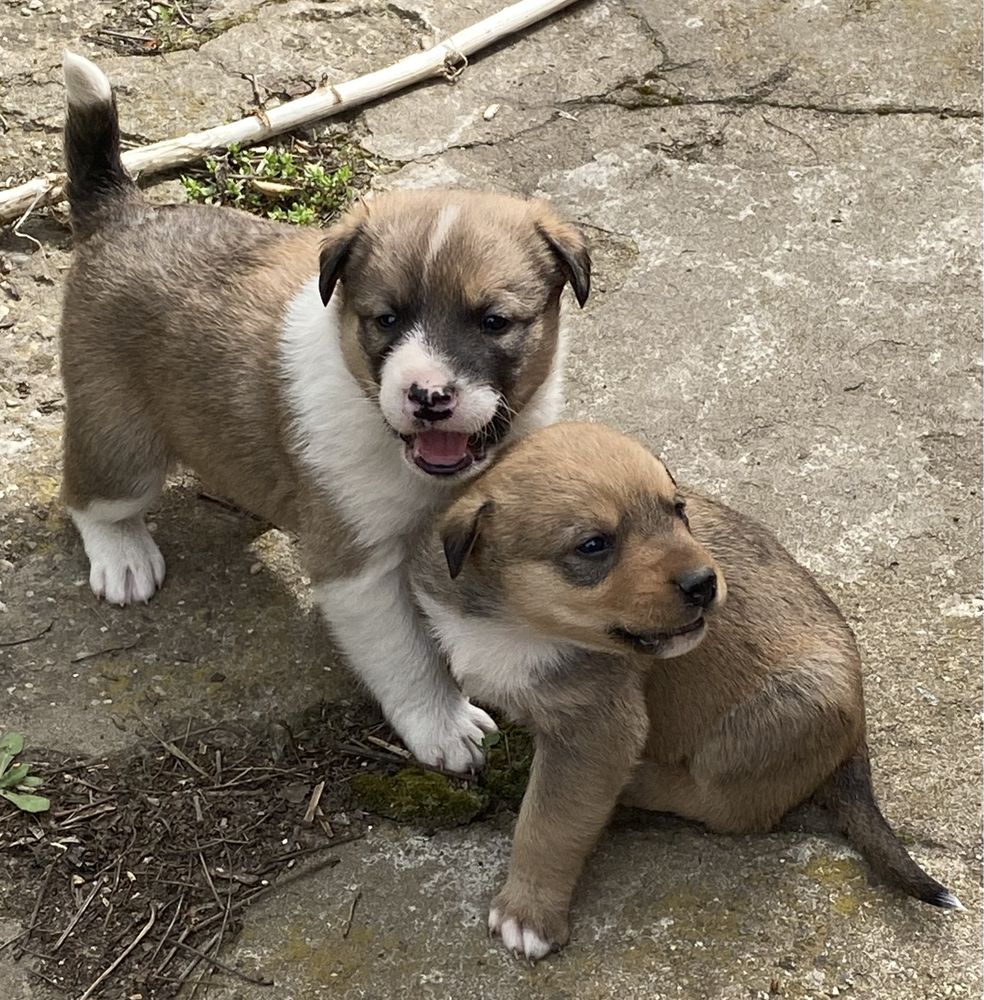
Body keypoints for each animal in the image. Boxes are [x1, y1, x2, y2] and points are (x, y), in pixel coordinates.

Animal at [57, 54, 592, 772]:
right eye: (385, 319)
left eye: (494, 322)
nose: (429, 397)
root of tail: (124, 212)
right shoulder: (360, 569)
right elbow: (409, 656)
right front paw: (443, 723)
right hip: (120, 437)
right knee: (93, 497)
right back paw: (122, 557)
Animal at [410, 420, 960, 960]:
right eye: (594, 545)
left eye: (679, 510)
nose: (704, 583)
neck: (515, 624)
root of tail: (858, 728)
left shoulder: (596, 733)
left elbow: (548, 824)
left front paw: (528, 914)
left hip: (773, 720)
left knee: (726, 805)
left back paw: (641, 781)